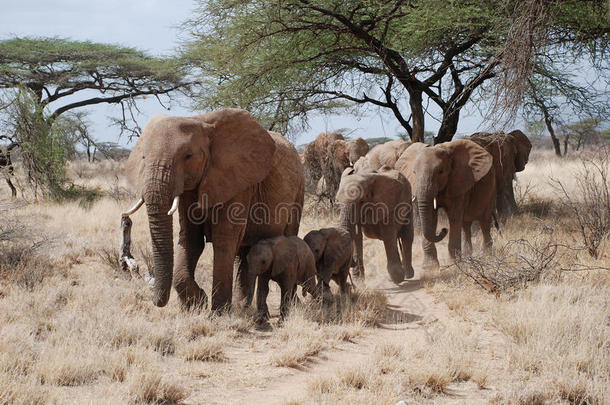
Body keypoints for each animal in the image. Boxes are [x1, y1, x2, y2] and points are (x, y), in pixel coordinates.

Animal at [123, 109, 304, 310]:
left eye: (188, 156)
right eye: (143, 158)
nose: (154, 298)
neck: (202, 123)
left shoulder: (238, 182)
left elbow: (223, 239)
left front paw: (218, 312)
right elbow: (191, 239)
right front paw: (198, 303)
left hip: (299, 191)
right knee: (244, 253)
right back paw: (242, 306)